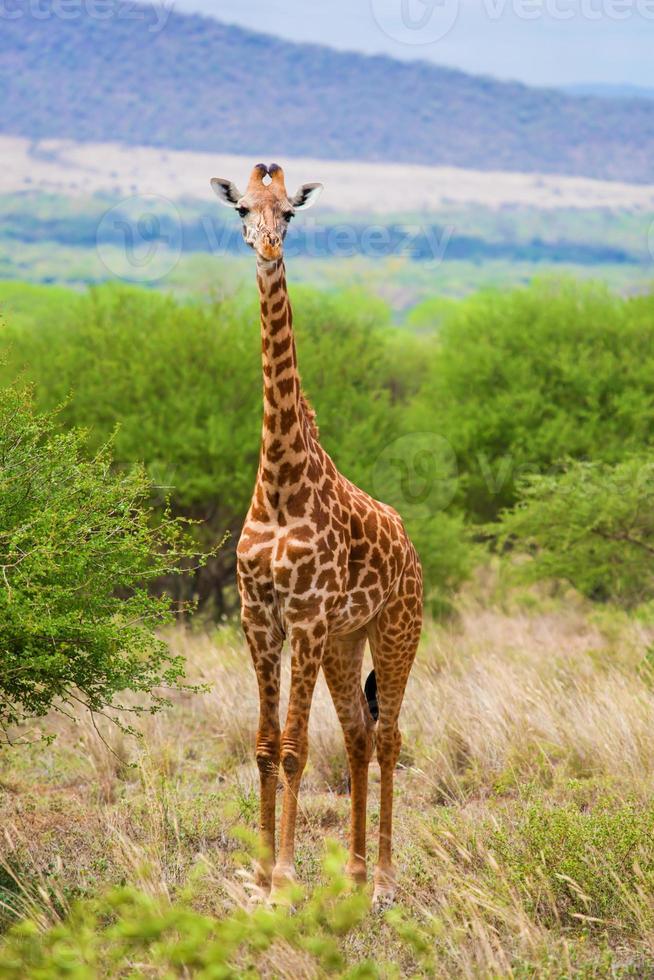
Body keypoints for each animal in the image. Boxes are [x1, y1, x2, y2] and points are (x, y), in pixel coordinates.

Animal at [211, 161, 426, 904]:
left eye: (291, 213)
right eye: (241, 209)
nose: (267, 246)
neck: (281, 483)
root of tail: (412, 548)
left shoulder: (302, 617)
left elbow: (296, 748)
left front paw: (282, 879)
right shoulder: (258, 616)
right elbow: (263, 746)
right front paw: (256, 873)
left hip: (396, 629)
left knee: (389, 736)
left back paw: (385, 878)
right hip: (344, 640)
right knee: (359, 734)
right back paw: (354, 874)